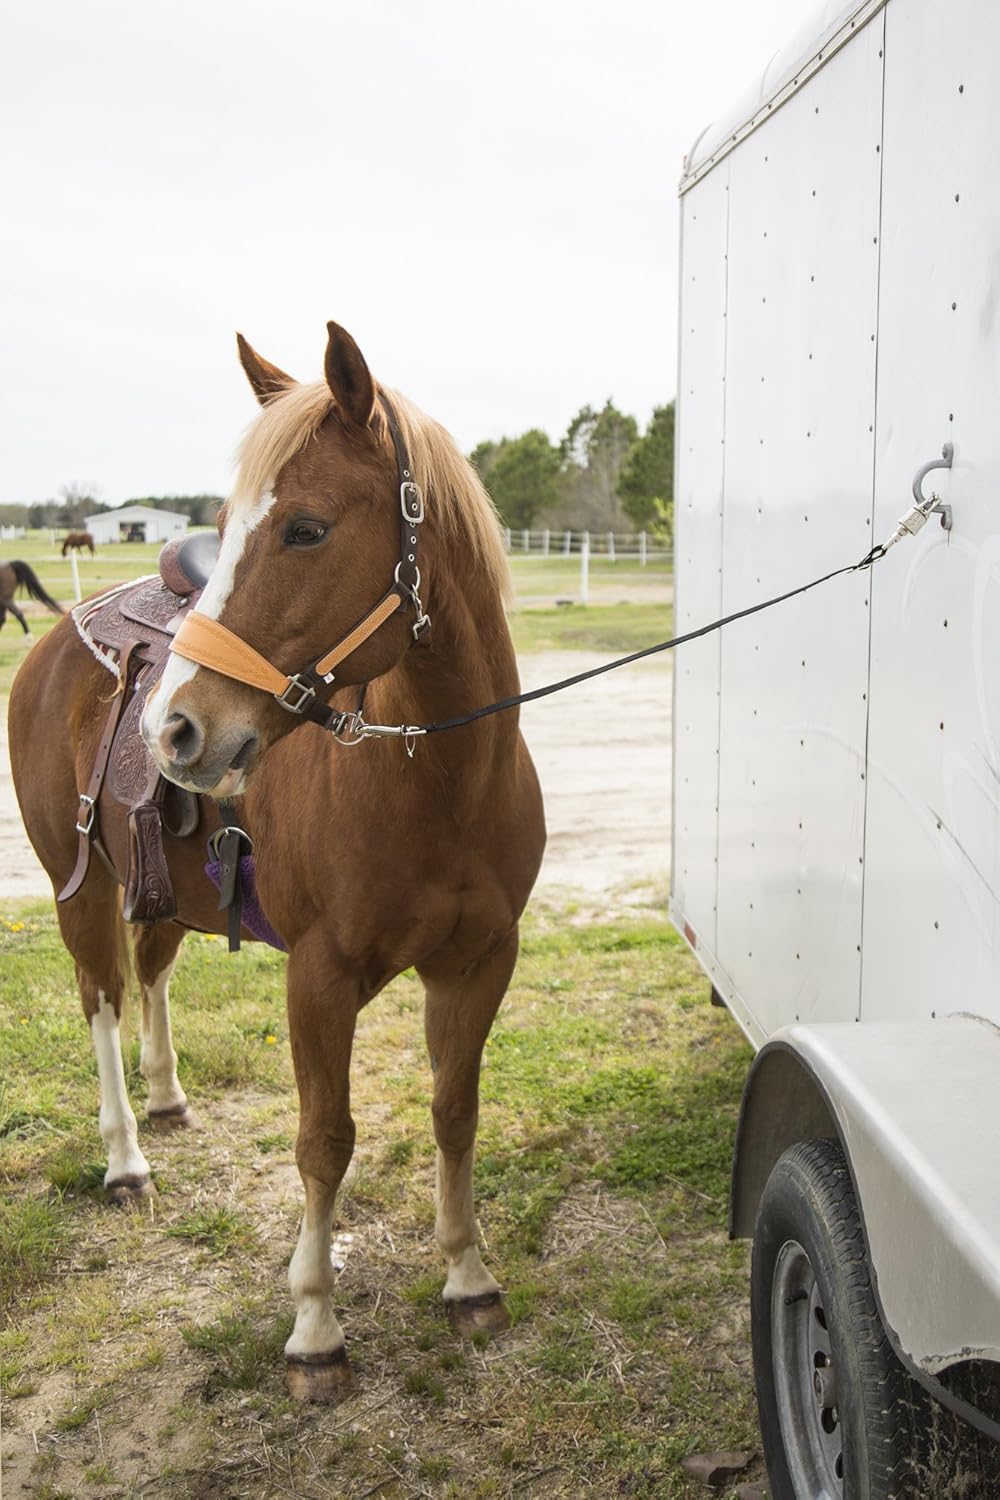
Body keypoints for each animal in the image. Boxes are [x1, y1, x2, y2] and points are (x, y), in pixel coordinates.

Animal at [8, 320, 546, 1402]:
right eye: (230, 525)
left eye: (304, 529)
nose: (176, 730)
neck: (439, 777)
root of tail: (51, 648)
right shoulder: (321, 979)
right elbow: (324, 1142)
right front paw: (314, 1328)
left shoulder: (478, 962)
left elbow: (454, 1111)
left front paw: (467, 1275)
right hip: (75, 892)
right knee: (100, 999)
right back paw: (126, 1158)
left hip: (161, 894)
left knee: (151, 978)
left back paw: (168, 1100)